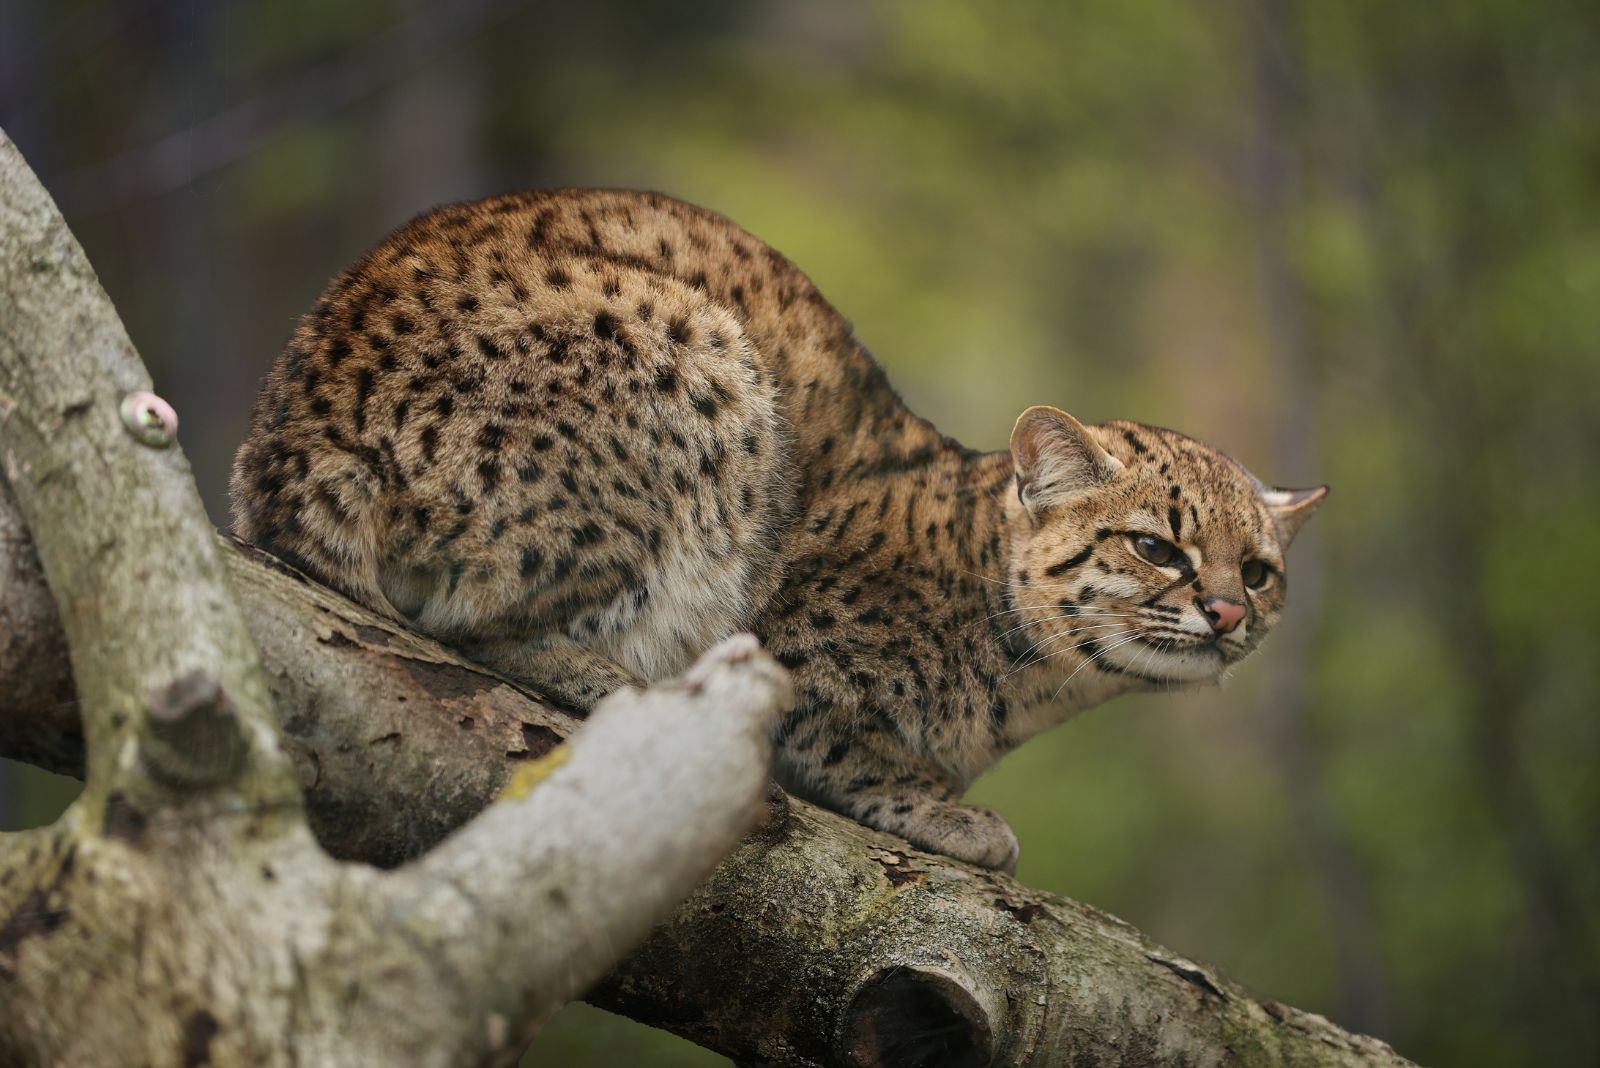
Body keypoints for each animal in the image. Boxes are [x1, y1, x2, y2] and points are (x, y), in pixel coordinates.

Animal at [228, 189, 1324, 869]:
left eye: (1259, 571)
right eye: (1156, 547)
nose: (1228, 613)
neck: (1036, 688)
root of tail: (291, 434)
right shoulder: (787, 643)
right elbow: (844, 739)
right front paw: (947, 810)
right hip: (700, 367)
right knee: (473, 625)